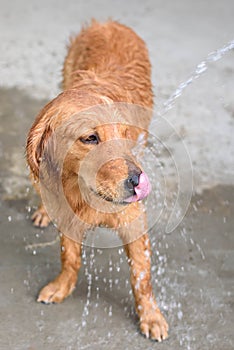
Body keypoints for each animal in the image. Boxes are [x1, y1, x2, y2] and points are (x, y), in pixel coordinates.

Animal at [26, 19, 168, 342]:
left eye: (123, 133)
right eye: (90, 138)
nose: (137, 180)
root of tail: (108, 22)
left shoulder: (133, 218)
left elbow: (141, 276)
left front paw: (151, 316)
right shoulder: (65, 211)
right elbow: (70, 257)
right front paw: (62, 286)